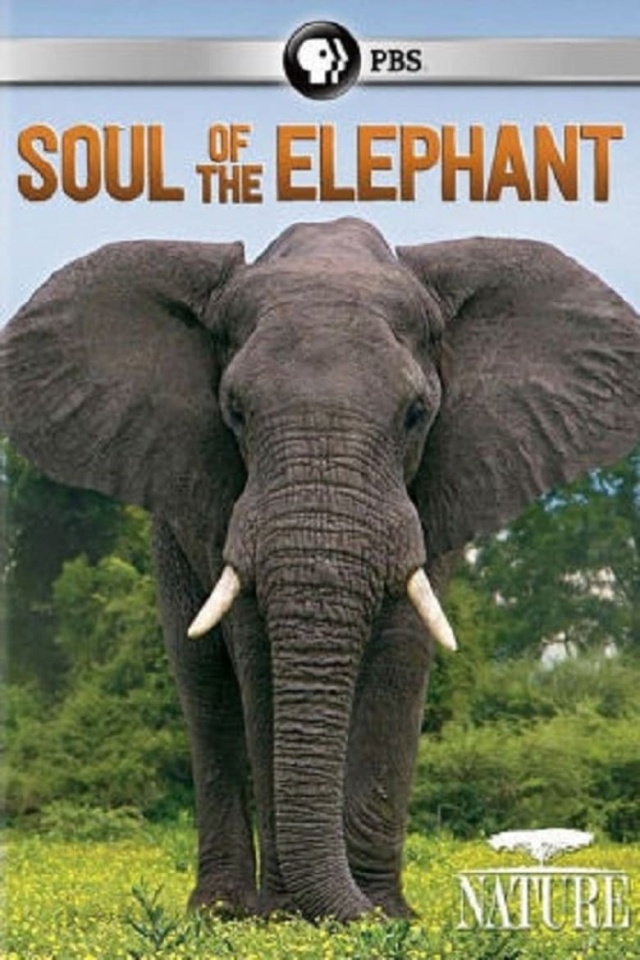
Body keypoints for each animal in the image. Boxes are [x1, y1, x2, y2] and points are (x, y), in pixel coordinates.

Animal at [1, 217, 639, 922]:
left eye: (417, 415)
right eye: (235, 412)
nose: (357, 911)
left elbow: (400, 656)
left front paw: (384, 916)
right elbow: (257, 661)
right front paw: (288, 917)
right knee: (205, 689)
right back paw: (219, 911)